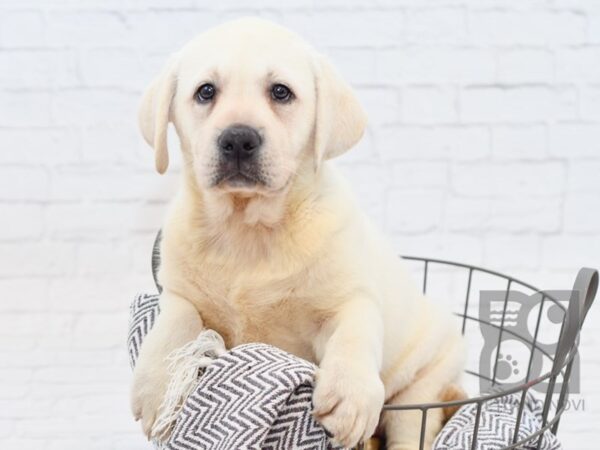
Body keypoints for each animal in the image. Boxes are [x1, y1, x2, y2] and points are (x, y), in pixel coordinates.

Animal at [132, 17, 464, 450]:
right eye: (205, 92)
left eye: (281, 92)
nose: (238, 138)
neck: (248, 228)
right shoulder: (179, 291)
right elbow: (174, 325)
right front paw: (158, 385)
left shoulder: (349, 295)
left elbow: (356, 328)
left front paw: (350, 395)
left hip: (425, 380)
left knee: (412, 425)